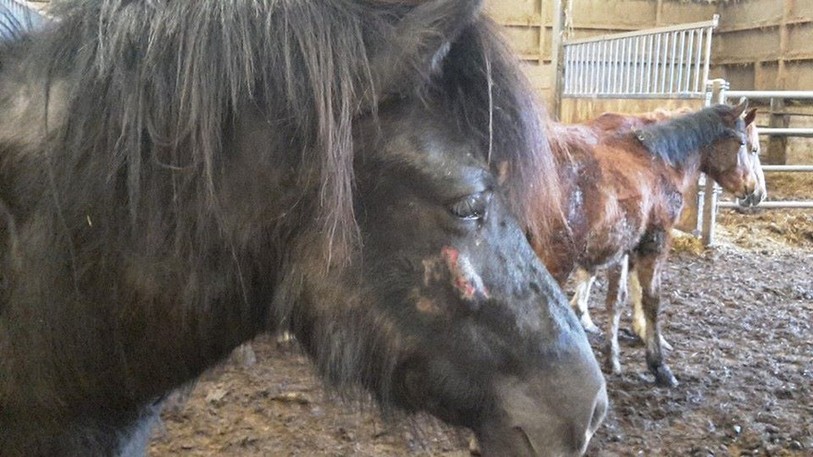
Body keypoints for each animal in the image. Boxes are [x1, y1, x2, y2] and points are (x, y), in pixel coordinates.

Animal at [529, 102, 765, 387]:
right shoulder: (655, 240)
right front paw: (658, 363)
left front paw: (612, 357)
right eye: (747, 145)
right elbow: (651, 299)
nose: (754, 192)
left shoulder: (624, 245)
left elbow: (617, 298)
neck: (658, 160)